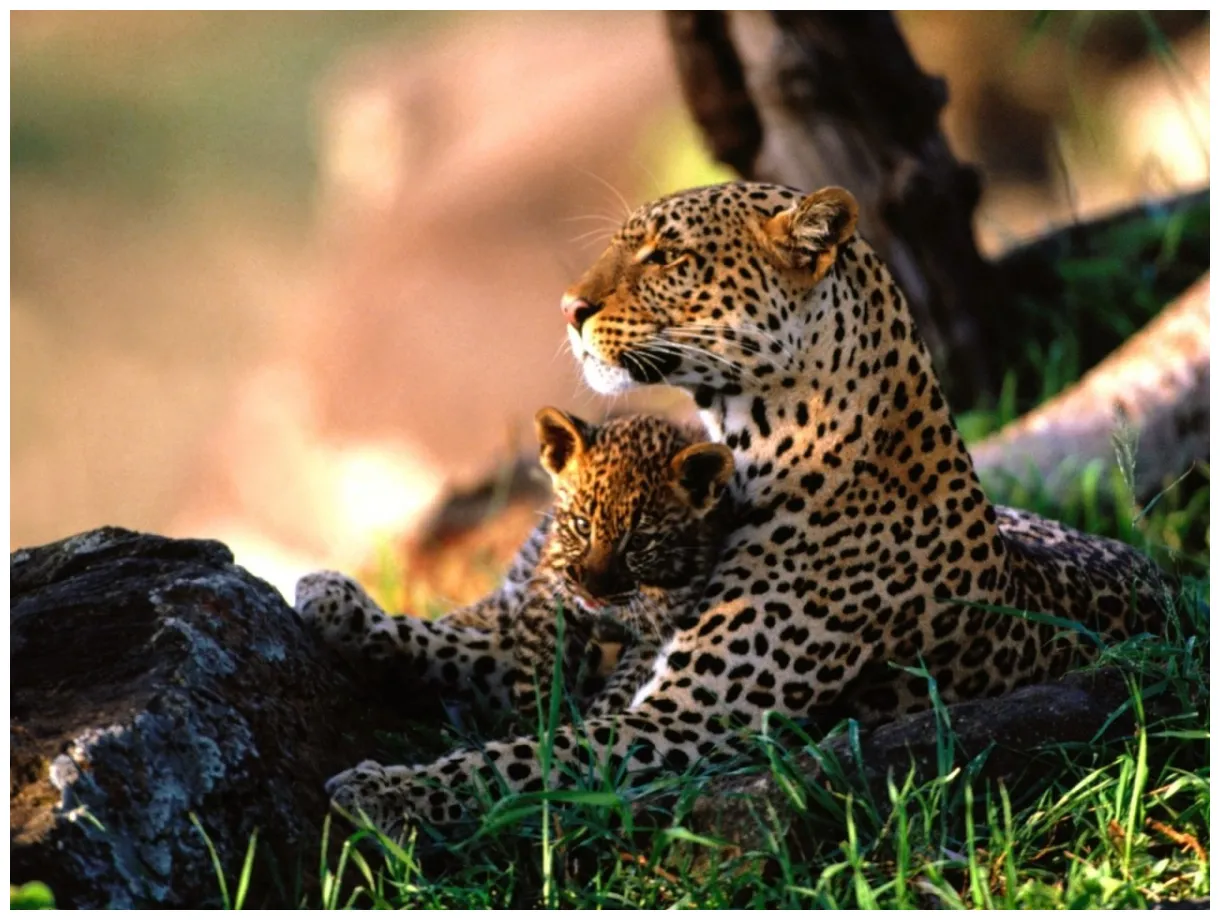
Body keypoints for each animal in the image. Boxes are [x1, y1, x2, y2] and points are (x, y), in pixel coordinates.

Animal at [297, 408, 735, 724]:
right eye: (582, 526)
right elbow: (487, 642)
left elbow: (622, 682)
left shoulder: (653, 630)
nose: (592, 591)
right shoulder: (539, 594)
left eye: (640, 542)